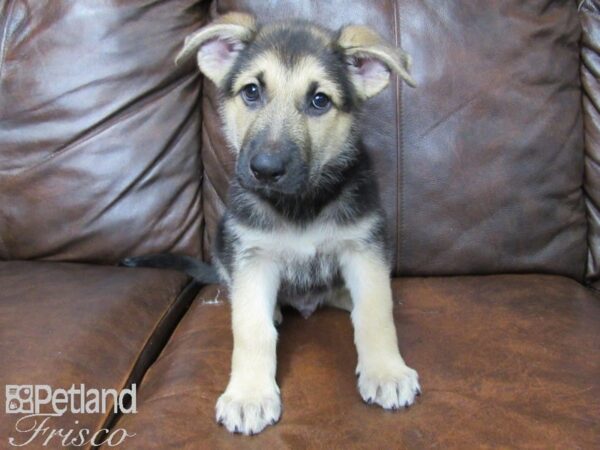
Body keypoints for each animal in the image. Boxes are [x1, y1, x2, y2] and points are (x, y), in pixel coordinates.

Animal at [124, 13, 420, 436]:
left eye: (319, 100)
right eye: (251, 92)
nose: (265, 169)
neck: (300, 206)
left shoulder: (364, 247)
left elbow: (375, 313)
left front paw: (386, 371)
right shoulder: (252, 256)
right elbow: (252, 328)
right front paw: (249, 395)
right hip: (223, 239)